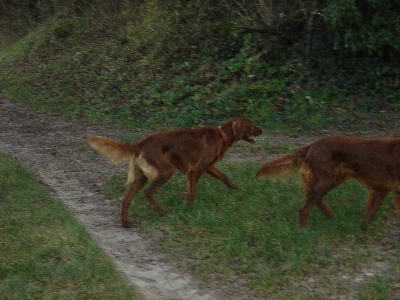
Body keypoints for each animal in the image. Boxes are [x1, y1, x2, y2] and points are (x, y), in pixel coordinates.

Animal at [86, 117, 262, 227]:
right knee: (148, 193)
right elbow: (191, 192)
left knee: (126, 199)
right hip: (165, 171)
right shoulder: (195, 170)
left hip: (141, 177)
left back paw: (126, 222)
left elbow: (223, 175)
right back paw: (161, 211)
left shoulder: (207, 166)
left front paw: (234, 187)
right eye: (251, 124)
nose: (261, 129)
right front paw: (190, 208)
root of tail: (139, 144)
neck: (222, 135)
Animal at [256, 135, 400, 229]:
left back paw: (331, 217)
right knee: (305, 207)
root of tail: (312, 145)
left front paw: (364, 226)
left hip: (332, 179)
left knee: (313, 198)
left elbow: (371, 210)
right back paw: (305, 229)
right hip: (326, 180)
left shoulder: (382, 189)